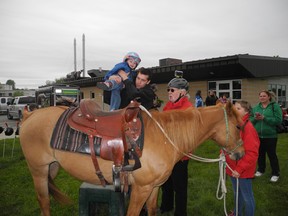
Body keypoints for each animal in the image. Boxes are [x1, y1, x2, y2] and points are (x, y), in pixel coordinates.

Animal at [20, 101, 244, 216]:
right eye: (239, 126)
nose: (240, 154)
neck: (165, 136)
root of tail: (29, 115)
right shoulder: (141, 189)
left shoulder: (154, 187)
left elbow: (151, 211)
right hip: (38, 170)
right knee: (44, 202)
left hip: (52, 167)